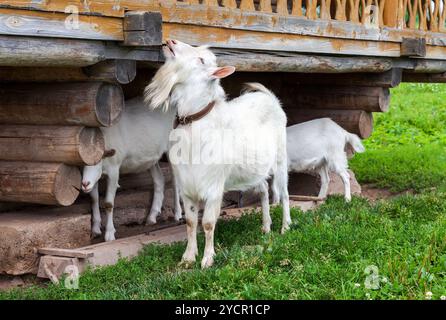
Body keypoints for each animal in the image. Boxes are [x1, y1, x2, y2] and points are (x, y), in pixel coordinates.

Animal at [82, 99, 181, 241]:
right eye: (81, 162)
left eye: (98, 161)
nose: (84, 184)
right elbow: (94, 199)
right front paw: (95, 230)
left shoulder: (113, 170)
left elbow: (108, 203)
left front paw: (110, 234)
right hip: (151, 155)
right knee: (159, 179)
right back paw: (152, 216)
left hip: (172, 146)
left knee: (175, 180)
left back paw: (178, 214)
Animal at [143, 40, 290, 270]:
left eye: (202, 60)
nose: (171, 42)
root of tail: (270, 98)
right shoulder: (187, 187)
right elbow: (191, 222)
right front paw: (188, 258)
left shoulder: (213, 186)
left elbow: (208, 223)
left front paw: (207, 259)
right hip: (254, 169)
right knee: (264, 190)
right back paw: (266, 228)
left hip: (281, 158)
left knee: (284, 192)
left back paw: (285, 227)